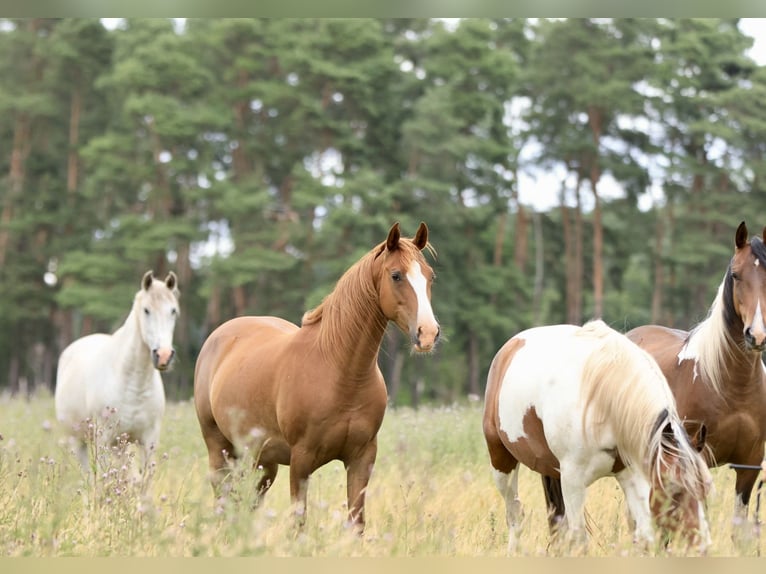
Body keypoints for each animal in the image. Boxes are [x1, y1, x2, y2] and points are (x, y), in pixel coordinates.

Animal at [55, 270, 180, 471]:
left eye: (173, 311)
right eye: (146, 310)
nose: (164, 355)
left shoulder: (148, 440)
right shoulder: (103, 440)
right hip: (79, 441)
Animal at [193, 222, 440, 533]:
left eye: (430, 276)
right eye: (396, 275)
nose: (427, 333)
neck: (340, 372)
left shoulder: (362, 458)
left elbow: (356, 523)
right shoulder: (301, 460)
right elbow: (298, 524)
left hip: (262, 462)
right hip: (220, 450)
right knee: (223, 501)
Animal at [483, 320, 712, 554]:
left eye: (706, 488)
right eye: (675, 489)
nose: (702, 546)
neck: (605, 401)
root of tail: (509, 348)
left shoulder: (633, 475)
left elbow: (645, 535)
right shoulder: (572, 480)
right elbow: (579, 540)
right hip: (502, 463)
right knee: (515, 515)